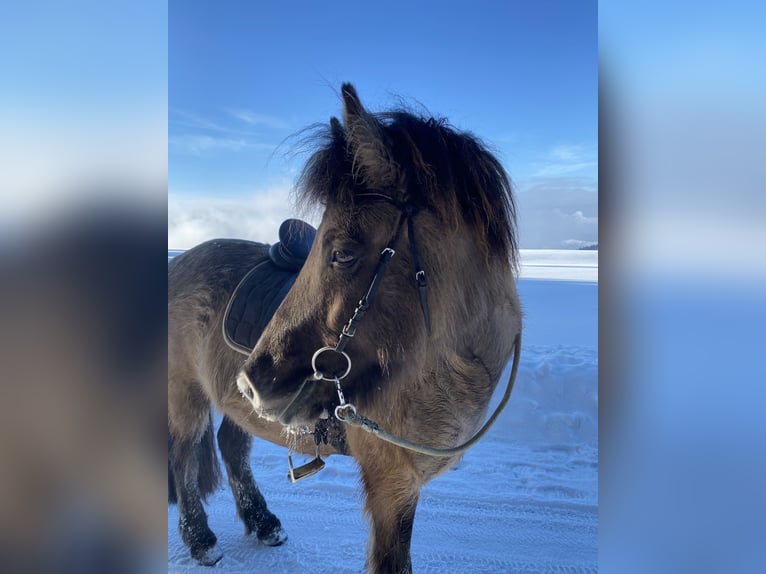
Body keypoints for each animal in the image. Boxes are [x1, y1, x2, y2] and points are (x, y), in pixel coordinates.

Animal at [168, 83, 522, 573]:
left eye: (342, 254)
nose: (253, 382)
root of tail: (180, 261)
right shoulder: (391, 484)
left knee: (231, 445)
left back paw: (263, 522)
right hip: (187, 393)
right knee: (184, 456)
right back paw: (201, 539)